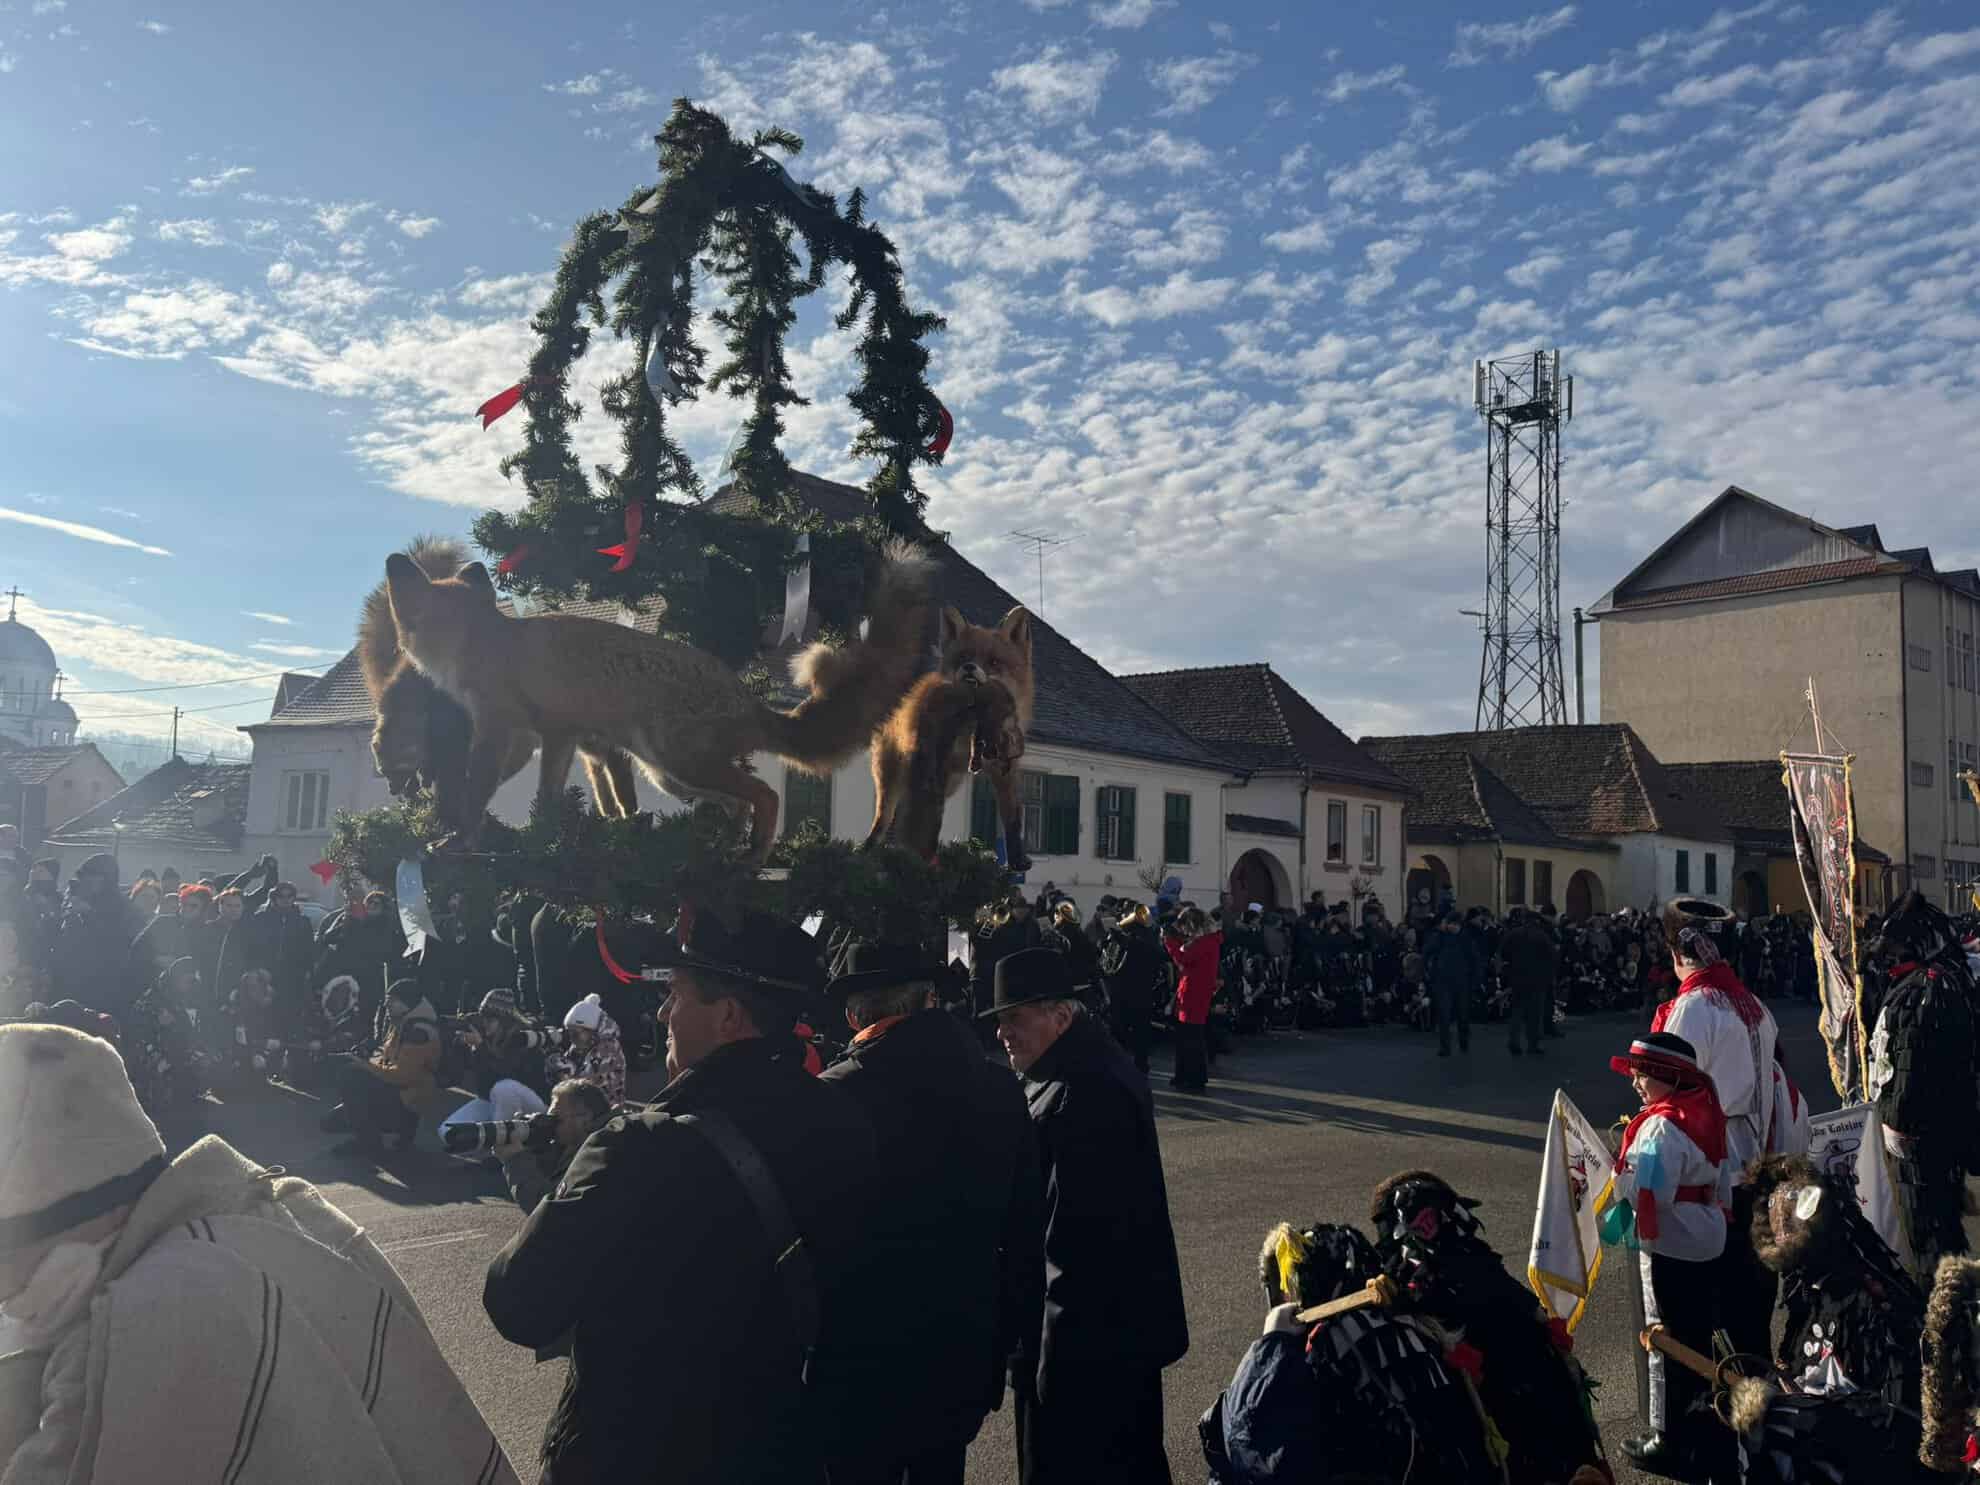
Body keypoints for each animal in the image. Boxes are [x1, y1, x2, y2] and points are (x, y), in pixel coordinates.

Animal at [356, 538, 633, 839]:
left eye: (391, 772)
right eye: (382, 772)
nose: (396, 794)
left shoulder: (470, 737)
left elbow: (459, 784)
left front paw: (449, 822)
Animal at [394, 542, 942, 859]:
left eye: (440, 623)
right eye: (425, 621)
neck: (490, 643)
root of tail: (745, 697)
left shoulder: (511, 730)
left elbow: (482, 790)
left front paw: (464, 837)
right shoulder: (543, 737)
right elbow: (530, 793)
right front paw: (521, 831)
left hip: (681, 763)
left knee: (766, 795)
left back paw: (753, 856)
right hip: (672, 776)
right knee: (739, 802)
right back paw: (724, 847)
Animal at [867, 605, 1037, 871]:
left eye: (994, 662)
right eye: (963, 656)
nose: (968, 666)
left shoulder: (1005, 769)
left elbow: (1013, 819)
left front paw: (1017, 860)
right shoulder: (933, 762)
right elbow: (928, 821)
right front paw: (923, 859)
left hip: (949, 782)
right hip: (894, 781)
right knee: (890, 820)